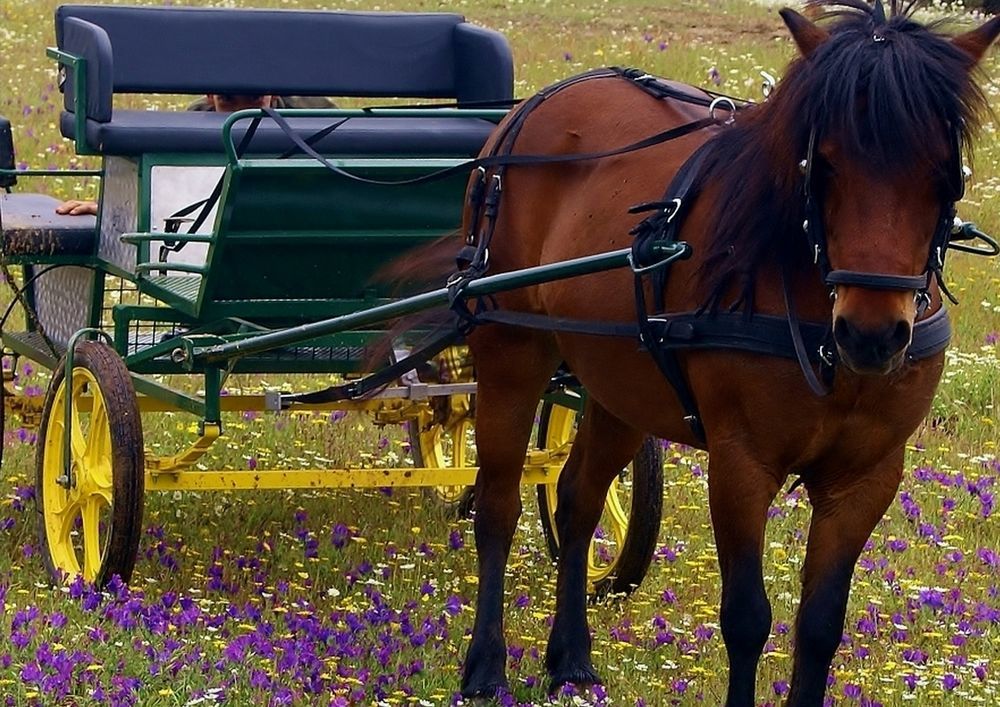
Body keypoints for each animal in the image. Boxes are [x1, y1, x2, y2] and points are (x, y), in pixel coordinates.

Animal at [442, 1, 1000, 707]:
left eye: (943, 173)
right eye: (823, 164)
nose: (871, 335)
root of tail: (530, 110)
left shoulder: (867, 475)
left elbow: (820, 625)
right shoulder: (741, 463)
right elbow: (747, 617)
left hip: (618, 382)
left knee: (577, 502)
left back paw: (571, 658)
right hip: (511, 350)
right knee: (498, 506)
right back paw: (485, 664)